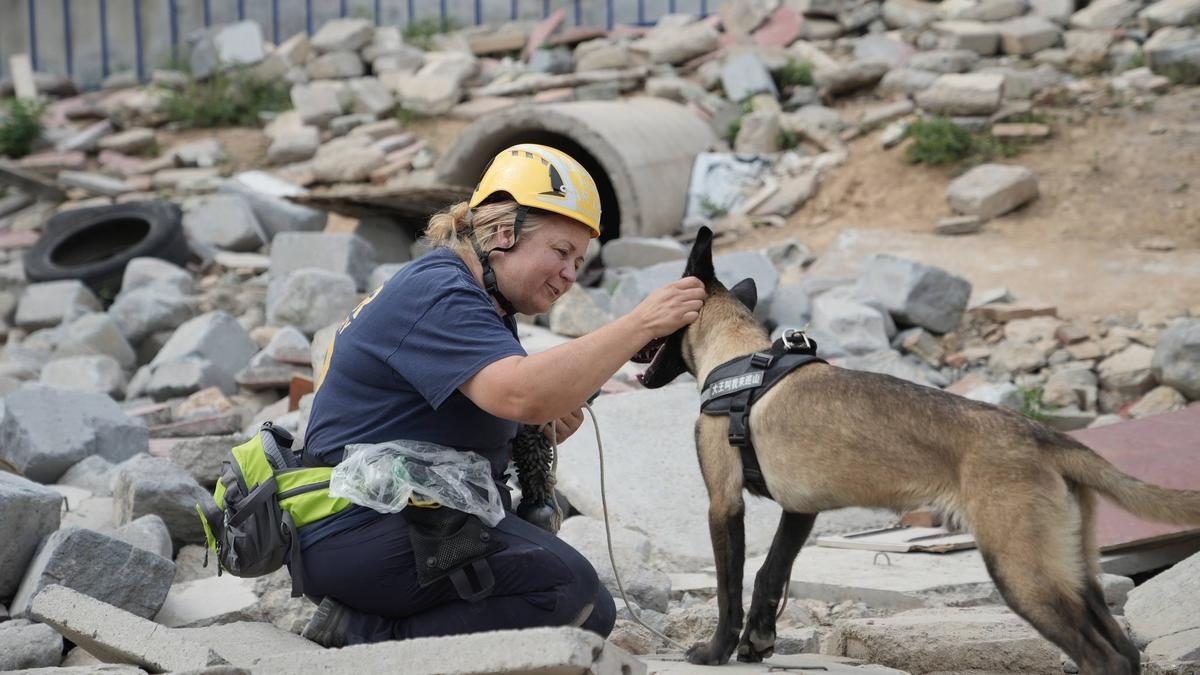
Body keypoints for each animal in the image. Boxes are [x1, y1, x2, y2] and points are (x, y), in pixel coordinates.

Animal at [638, 227, 1200, 672]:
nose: (634, 337)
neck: (741, 359)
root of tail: (1046, 437)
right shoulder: (800, 511)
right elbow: (769, 574)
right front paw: (758, 641)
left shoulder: (724, 504)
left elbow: (729, 588)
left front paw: (715, 652)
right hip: (1073, 569)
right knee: (1124, 651)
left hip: (1023, 572)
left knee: (1103, 658)